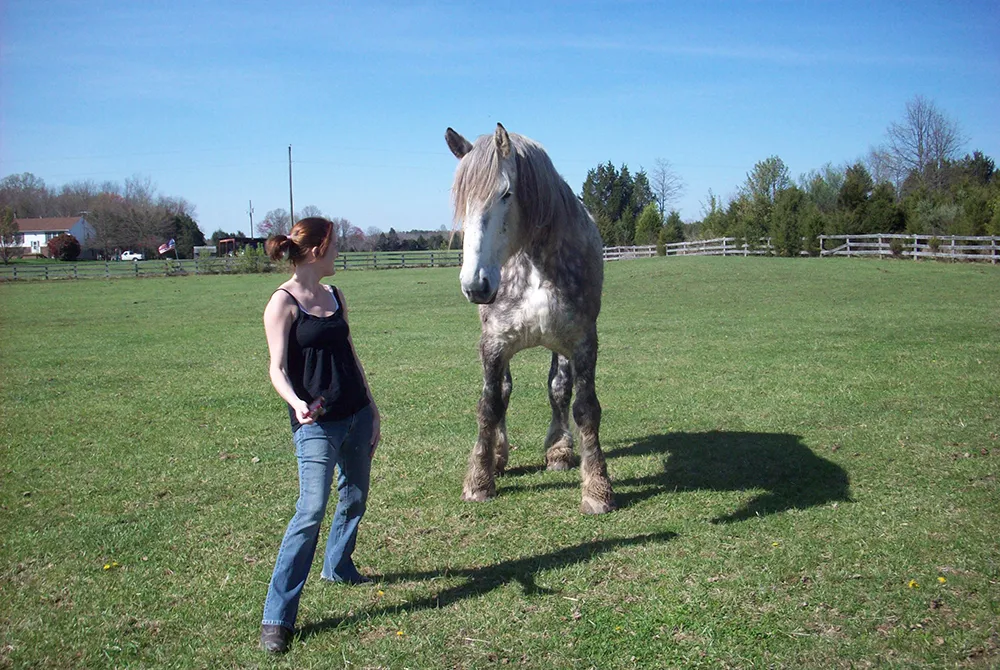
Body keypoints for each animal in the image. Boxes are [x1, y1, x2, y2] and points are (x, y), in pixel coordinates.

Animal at [444, 123, 616, 515]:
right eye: (462, 200)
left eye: (506, 193)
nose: (475, 284)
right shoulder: (493, 344)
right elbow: (489, 405)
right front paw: (479, 480)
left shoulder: (582, 342)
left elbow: (585, 407)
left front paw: (597, 489)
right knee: (505, 392)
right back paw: (498, 455)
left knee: (559, 390)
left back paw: (559, 451)